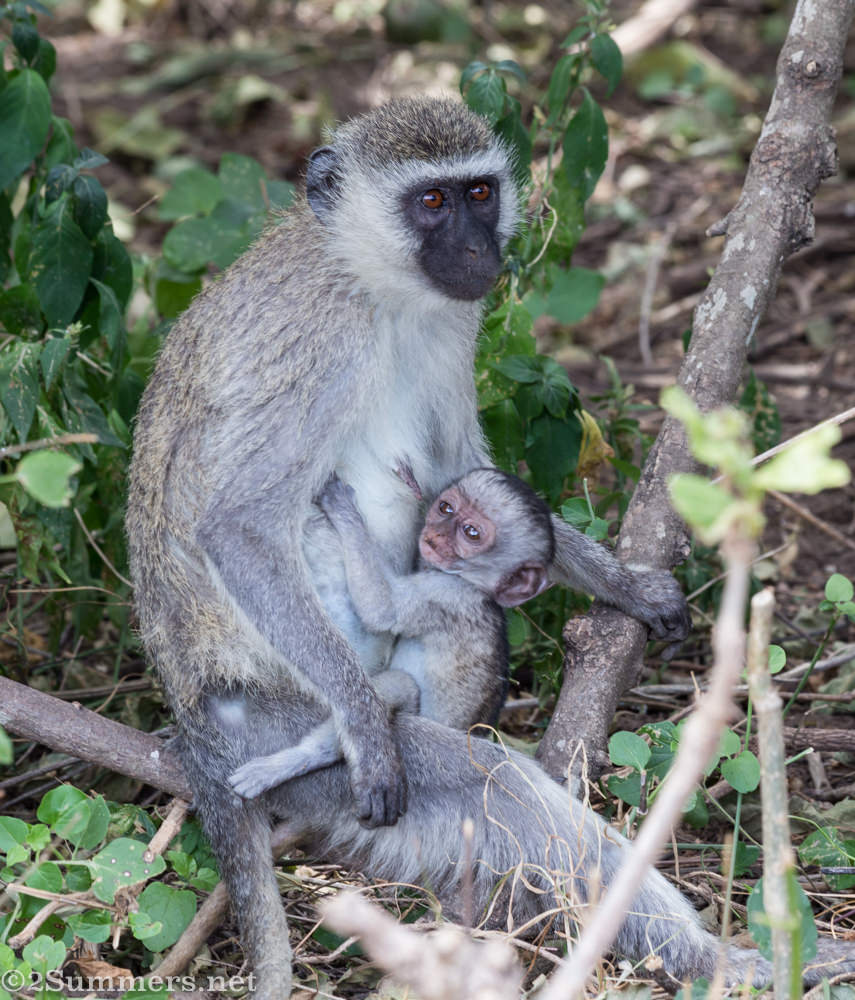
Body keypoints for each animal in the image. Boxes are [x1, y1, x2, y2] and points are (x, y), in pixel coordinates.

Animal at [228, 466, 555, 798]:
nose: (436, 534)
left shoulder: (447, 595)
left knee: (400, 684)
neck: (476, 585)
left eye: (471, 533)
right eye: (446, 508)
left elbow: (381, 609)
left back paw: (297, 759)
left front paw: (345, 510)